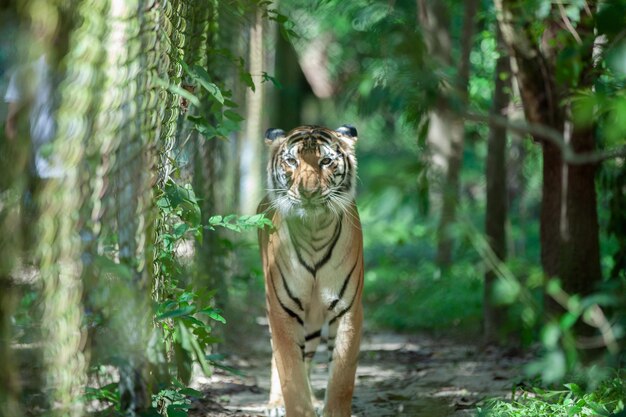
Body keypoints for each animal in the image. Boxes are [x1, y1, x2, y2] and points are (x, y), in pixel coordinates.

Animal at [256, 124, 364, 416]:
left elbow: (342, 377)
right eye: (291, 161)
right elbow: (290, 373)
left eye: (326, 161)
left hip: (314, 320)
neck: (315, 229)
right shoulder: (281, 310)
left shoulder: (348, 310)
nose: (308, 192)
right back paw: (275, 404)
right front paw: (294, 406)